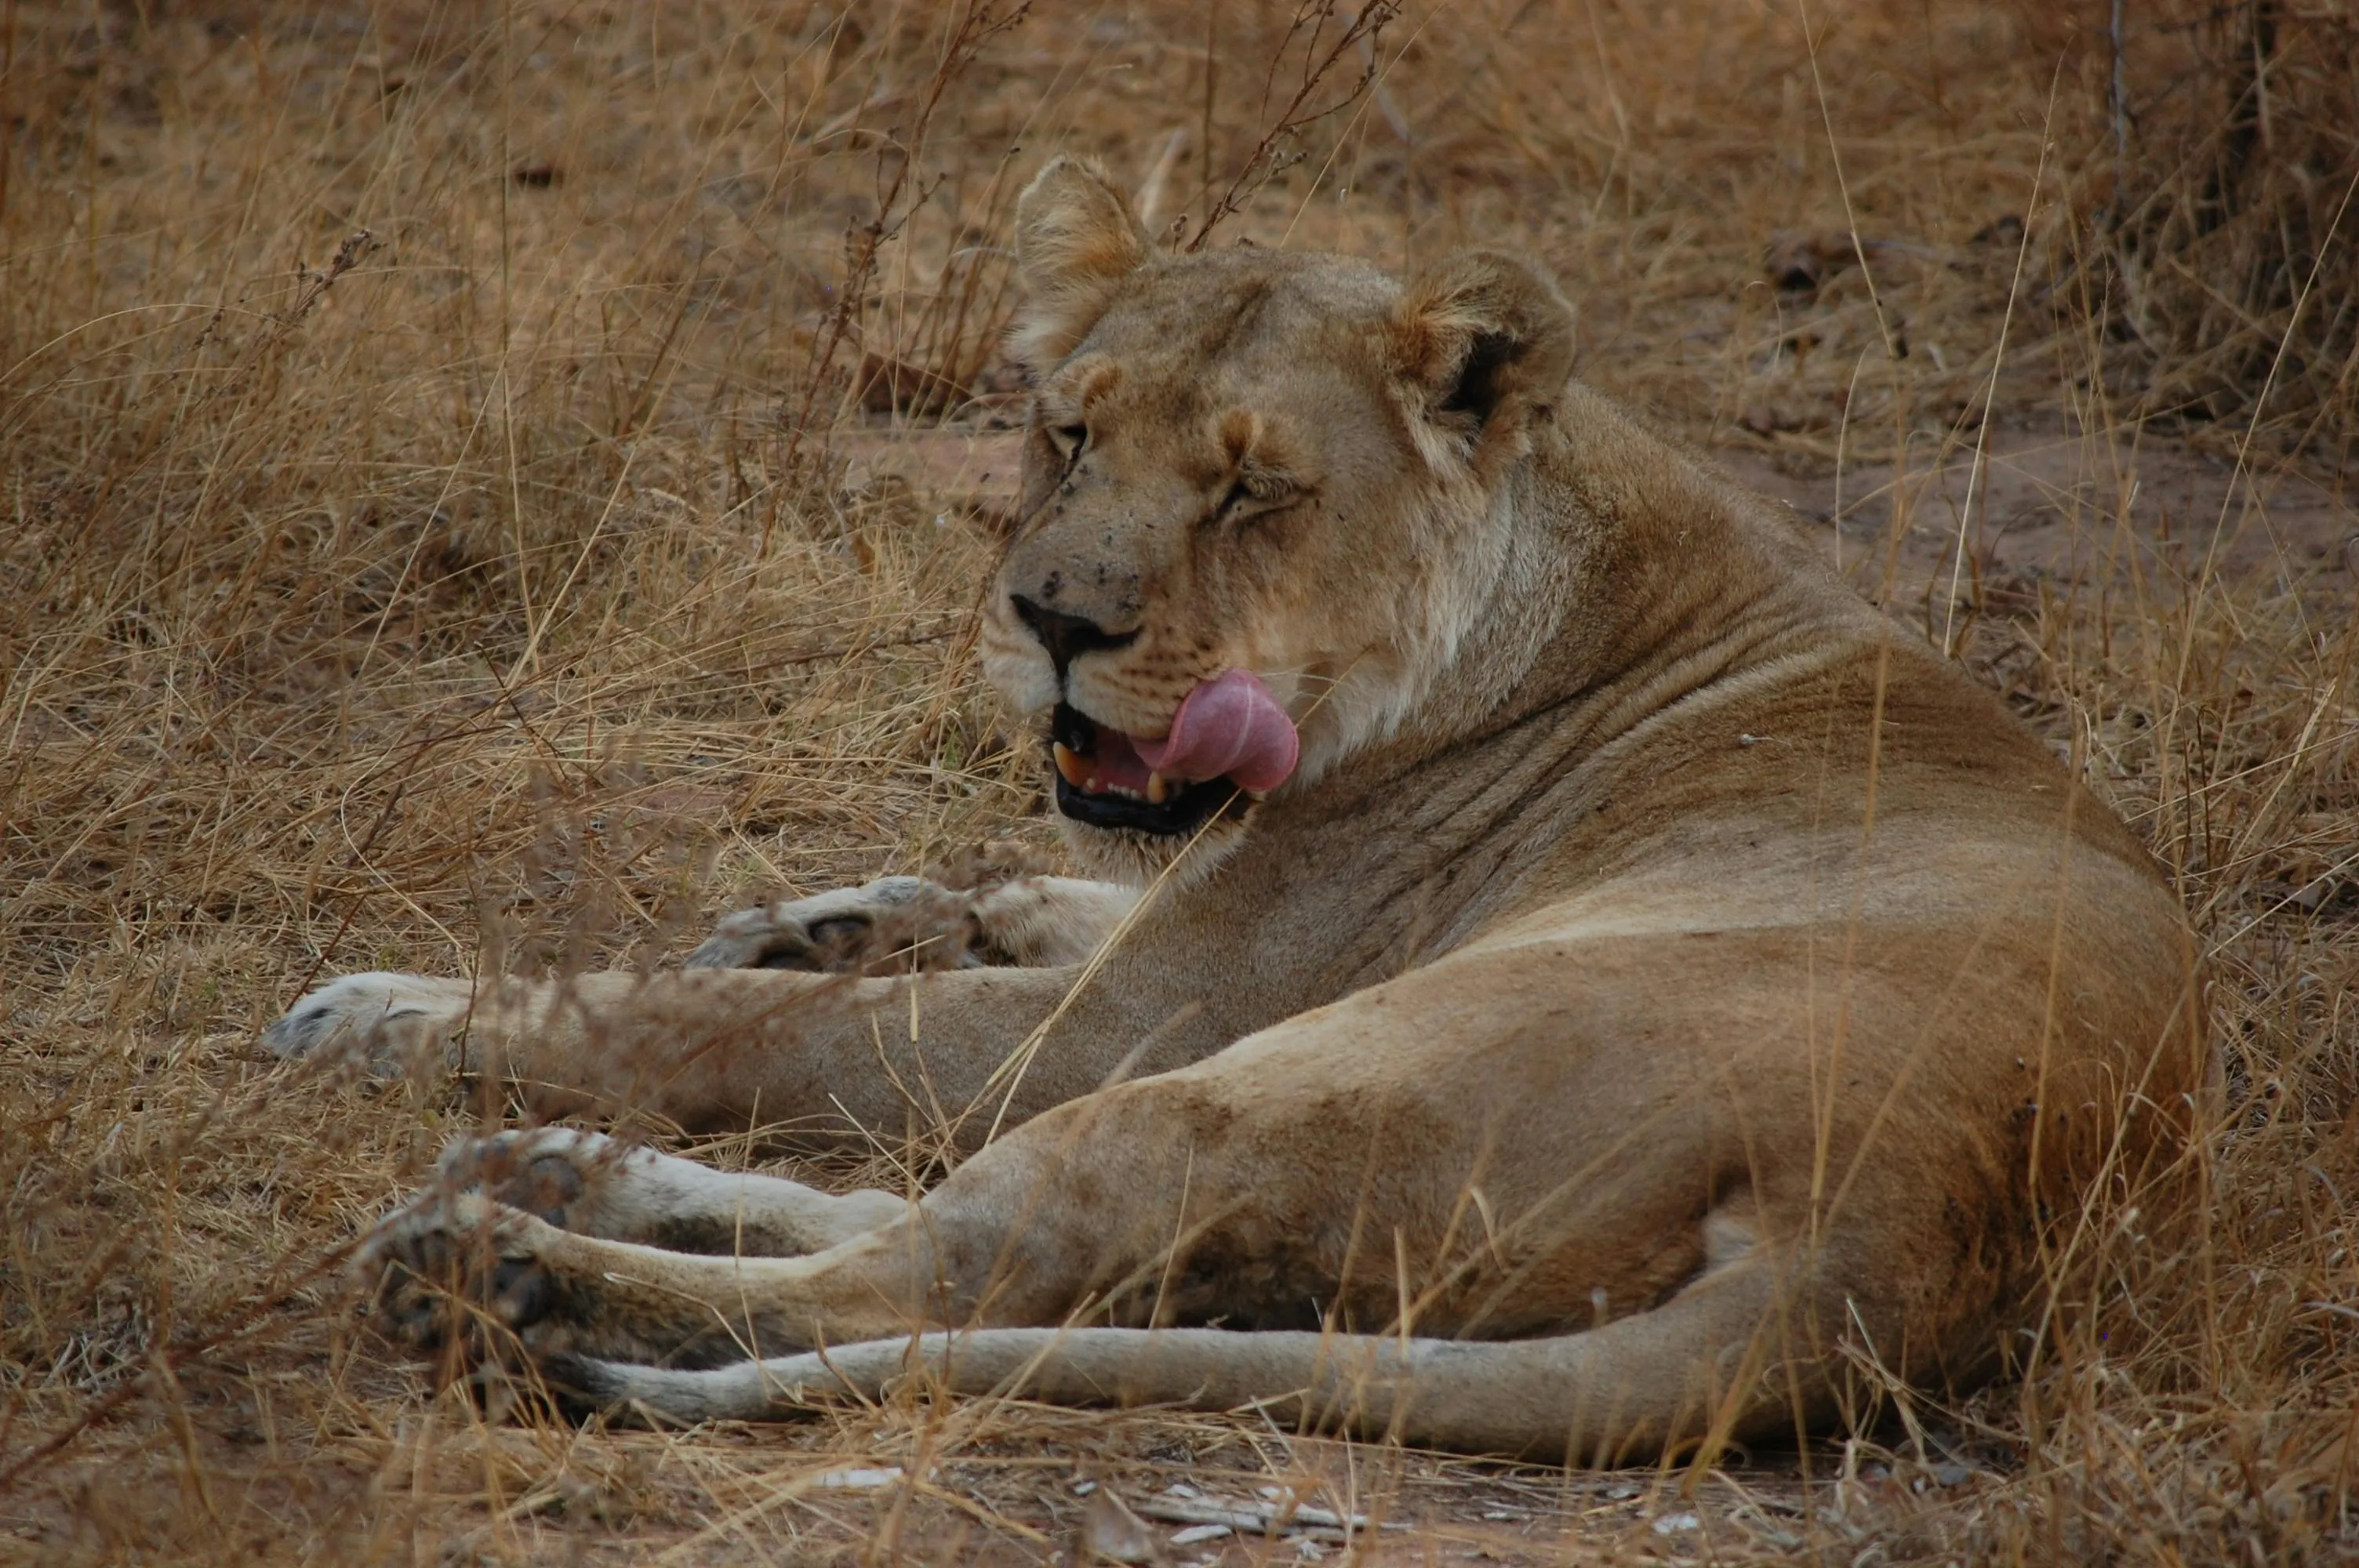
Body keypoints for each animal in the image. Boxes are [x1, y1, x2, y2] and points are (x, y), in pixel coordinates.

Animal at [266, 156, 2207, 1463]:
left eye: (1252, 491)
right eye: (1064, 434)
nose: (1050, 621)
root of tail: (1894, 1242)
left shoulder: (1134, 1017)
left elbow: (720, 1022)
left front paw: (393, 1012)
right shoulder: (1155, 939)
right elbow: (968, 923)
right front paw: (852, 909)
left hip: (1282, 1078)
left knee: (908, 1279)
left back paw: (501, 1263)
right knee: (929, 1239)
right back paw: (546, 1171)